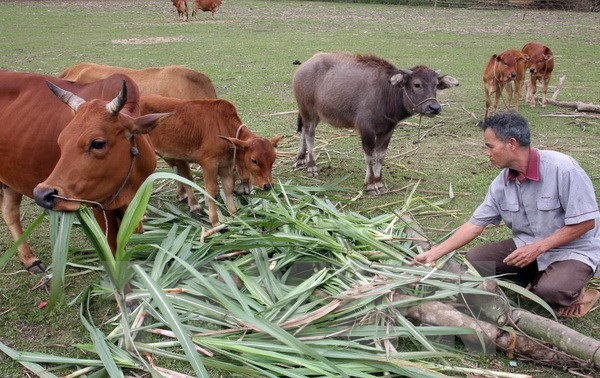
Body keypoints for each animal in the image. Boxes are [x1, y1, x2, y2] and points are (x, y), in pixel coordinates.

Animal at [0, 70, 169, 272]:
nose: (42, 194)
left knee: (10, 212)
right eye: (61, 141)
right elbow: (112, 250)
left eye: (97, 143)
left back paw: (29, 259)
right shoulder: (100, 207)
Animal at [139, 94, 282, 227]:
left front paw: (235, 217)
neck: (223, 128)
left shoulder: (225, 165)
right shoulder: (208, 164)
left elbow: (228, 187)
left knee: (183, 175)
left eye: (273, 160)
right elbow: (212, 191)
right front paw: (215, 222)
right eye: (254, 160)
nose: (268, 185)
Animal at [292, 52, 458, 195]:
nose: (434, 108)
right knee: (310, 135)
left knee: (304, 132)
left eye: (436, 85)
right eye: (417, 84)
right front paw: (371, 185)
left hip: (315, 114)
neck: (386, 93)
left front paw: (379, 182)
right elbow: (370, 156)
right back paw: (311, 166)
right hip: (307, 110)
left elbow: (380, 156)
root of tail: (304, 66)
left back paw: (300, 160)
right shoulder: (366, 130)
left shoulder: (388, 130)